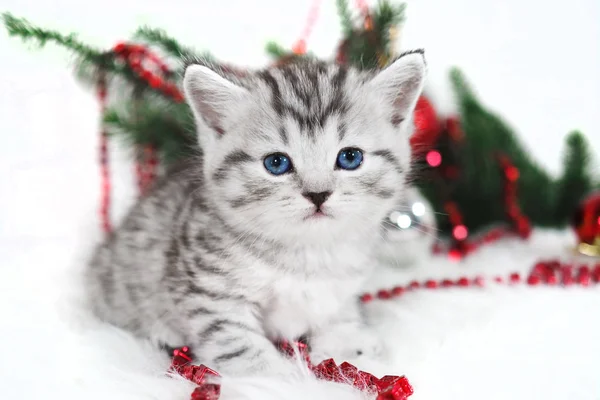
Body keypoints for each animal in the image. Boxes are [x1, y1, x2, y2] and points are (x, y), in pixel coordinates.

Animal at [85, 50, 426, 376]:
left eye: (350, 157)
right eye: (276, 163)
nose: (317, 194)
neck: (307, 254)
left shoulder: (341, 285)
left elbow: (337, 311)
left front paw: (347, 340)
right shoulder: (208, 292)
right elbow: (237, 343)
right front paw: (278, 378)